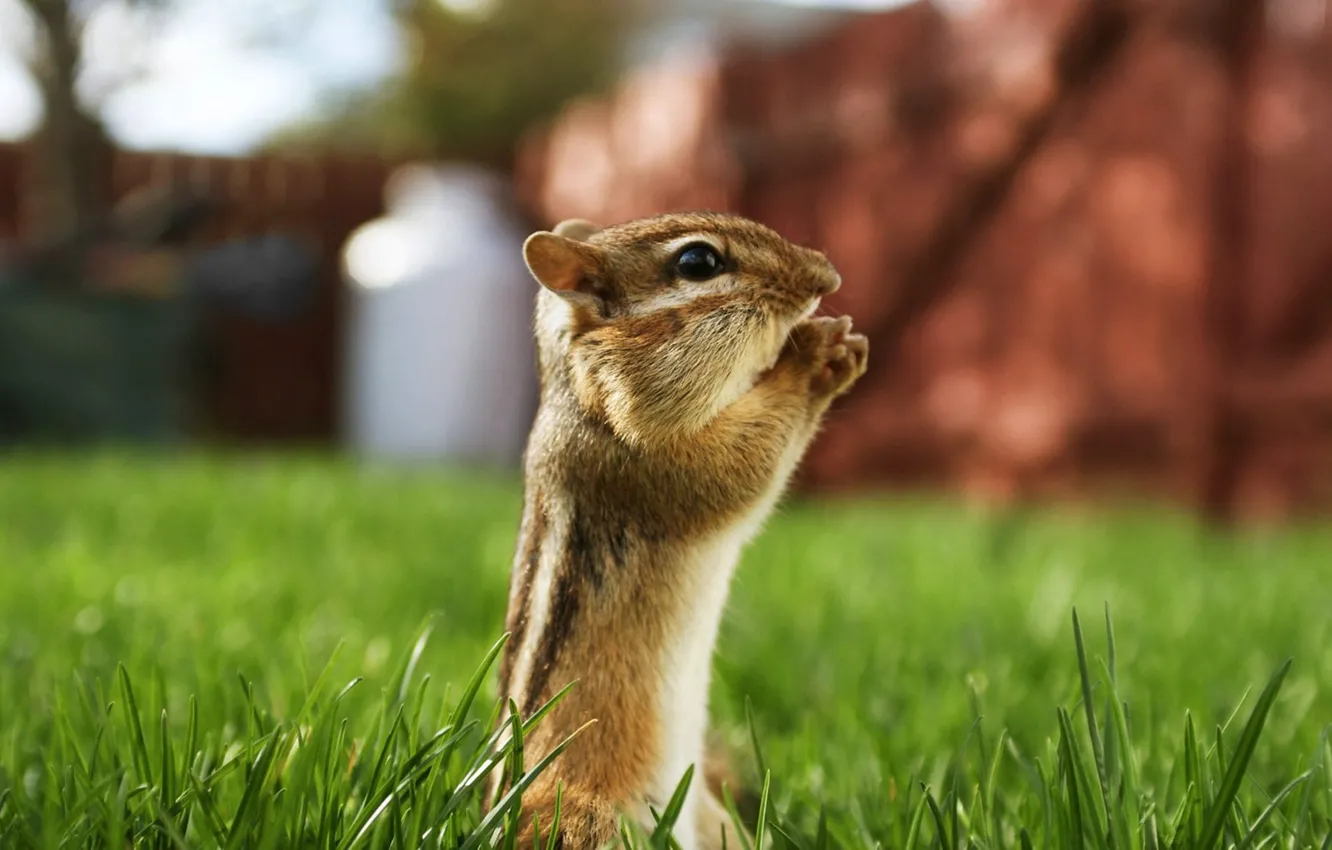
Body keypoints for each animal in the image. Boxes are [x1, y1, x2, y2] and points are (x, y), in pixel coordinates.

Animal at [489, 211, 869, 849]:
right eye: (698, 263)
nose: (829, 276)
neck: (582, 391)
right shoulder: (649, 458)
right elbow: (740, 469)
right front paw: (816, 356)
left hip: (715, 821)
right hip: (589, 821)